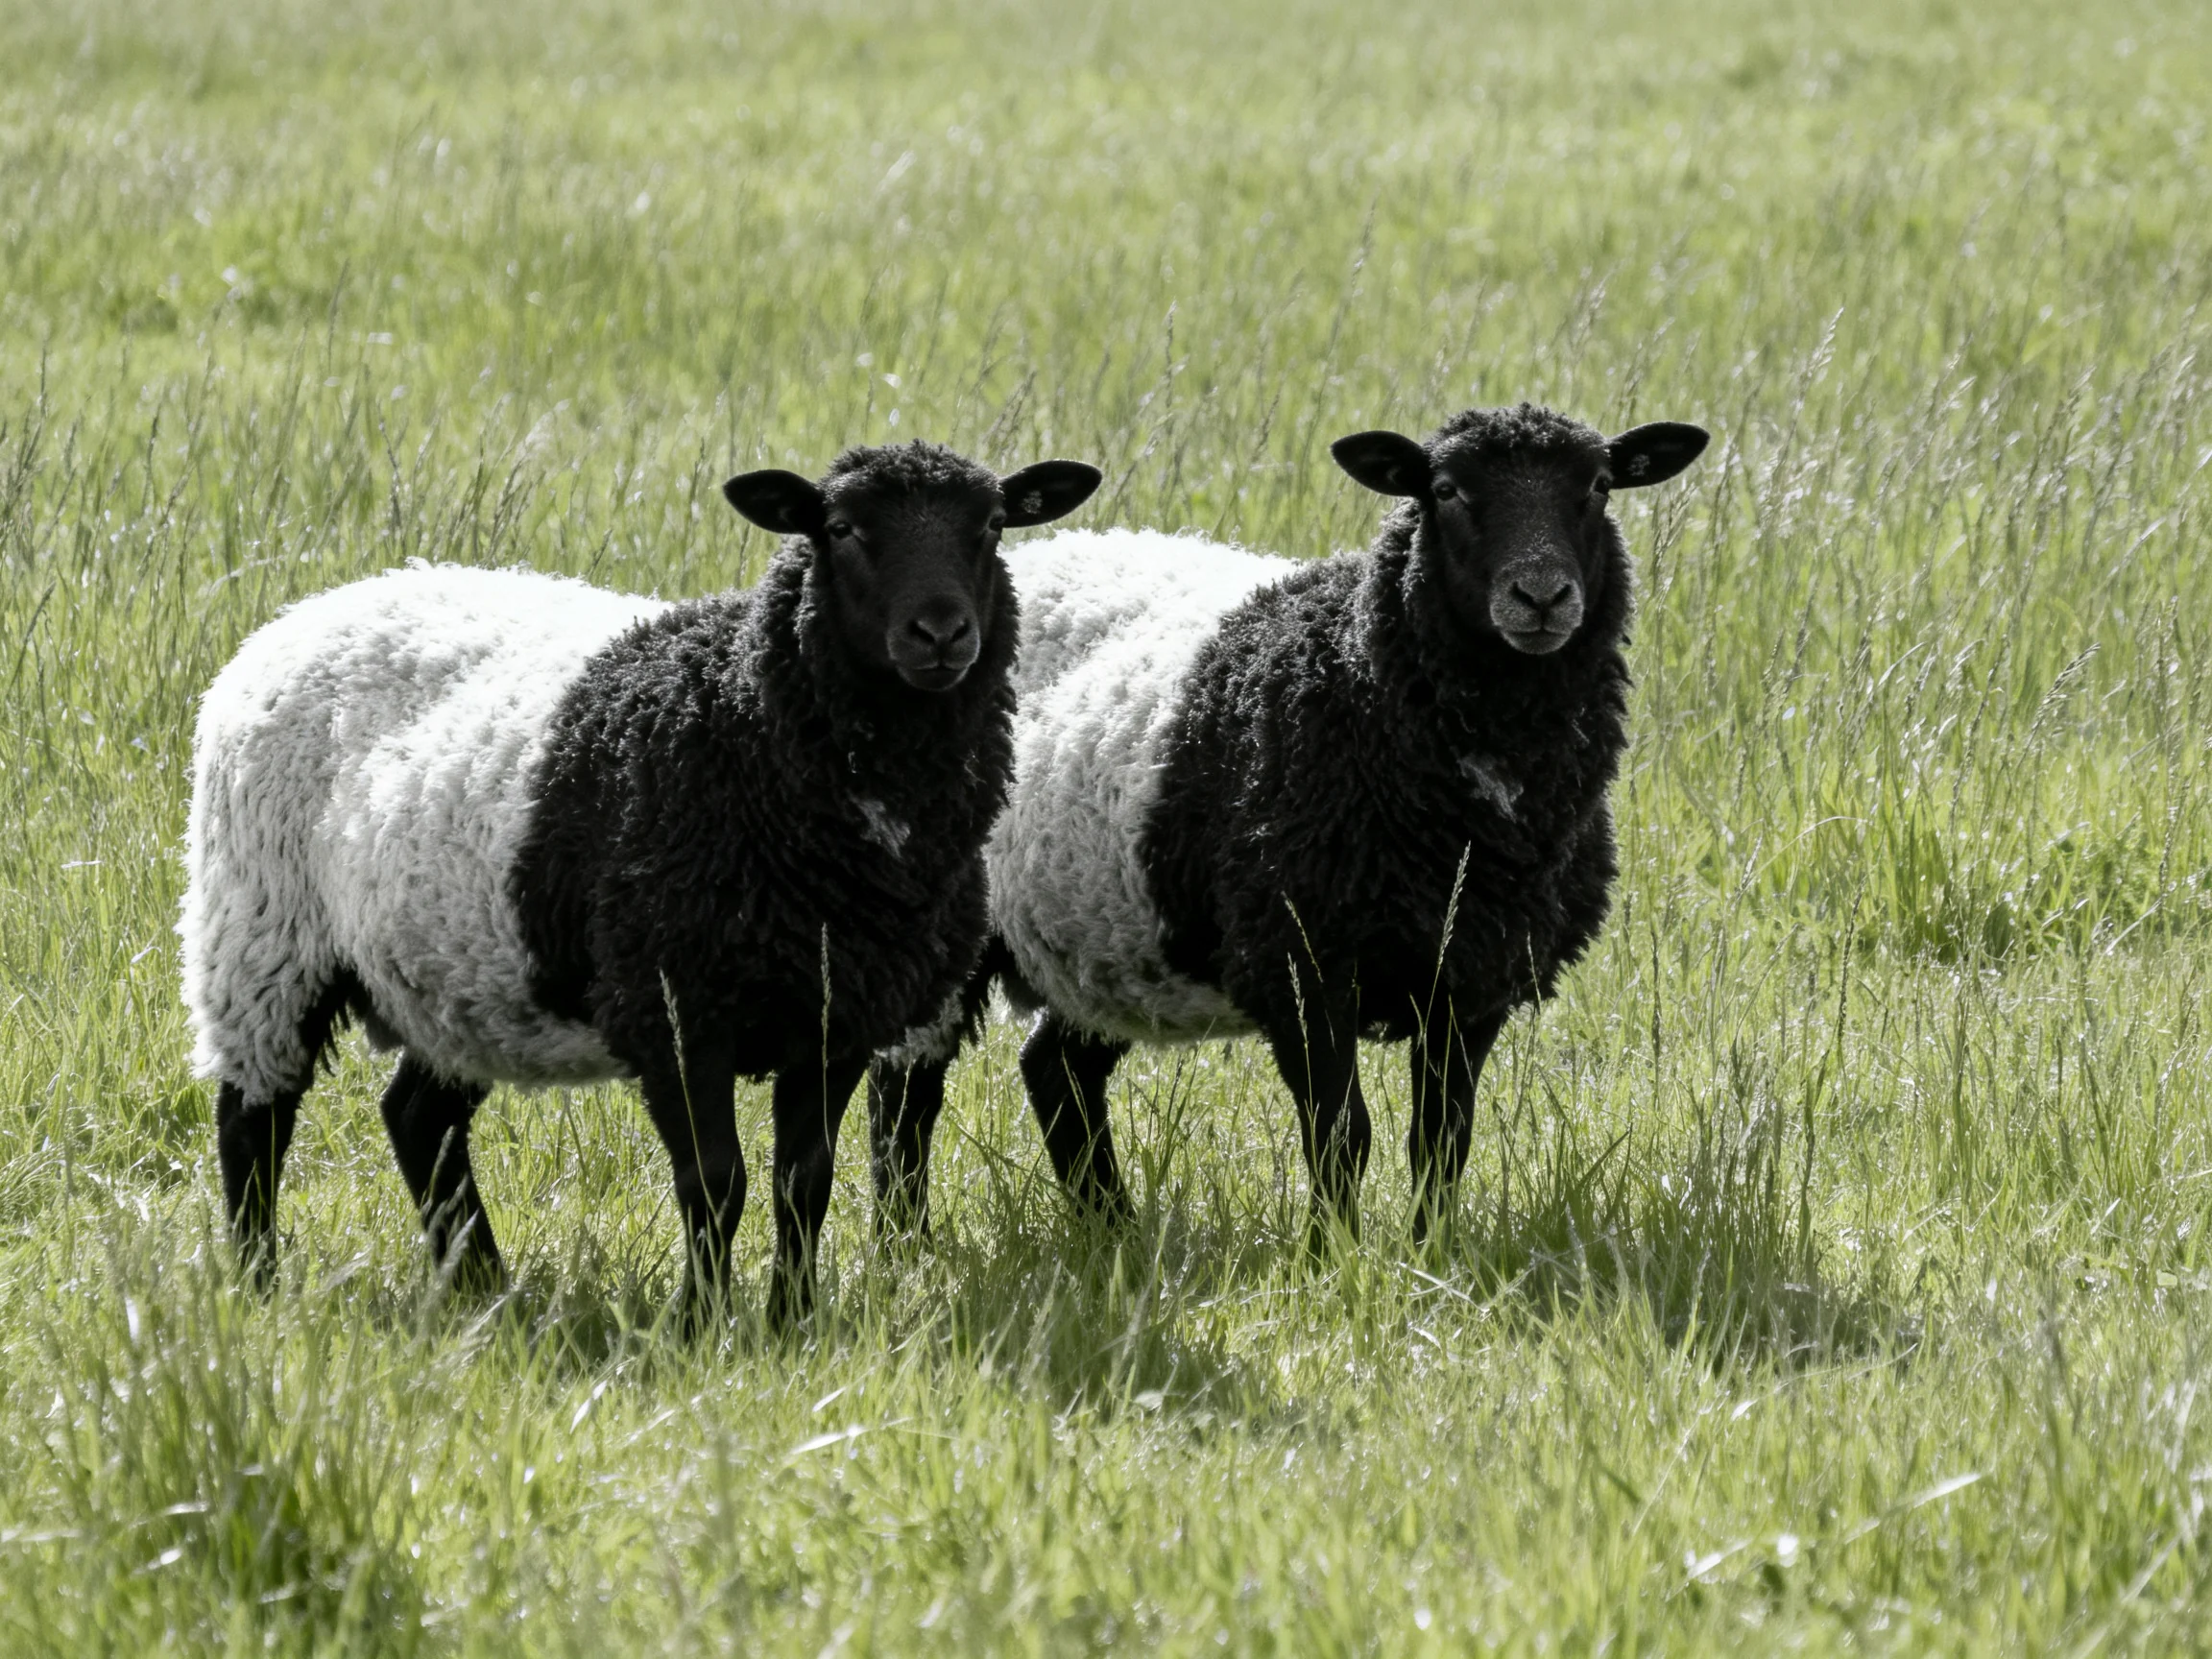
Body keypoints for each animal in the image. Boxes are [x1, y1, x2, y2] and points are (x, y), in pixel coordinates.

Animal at [181, 440, 1102, 1326]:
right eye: (839, 529)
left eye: (991, 525)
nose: (940, 633)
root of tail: (313, 608)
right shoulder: (674, 1008)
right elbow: (716, 1183)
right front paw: (702, 1327)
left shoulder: (836, 1015)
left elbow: (803, 1183)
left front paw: (792, 1324)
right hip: (264, 930)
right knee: (253, 1118)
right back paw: (260, 1284)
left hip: (455, 968)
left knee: (417, 1116)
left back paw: (484, 1288)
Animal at [867, 404, 1707, 1250]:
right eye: (1444, 490)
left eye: (1598, 486)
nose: (1540, 596)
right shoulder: (1302, 961)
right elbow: (1341, 1133)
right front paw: (1335, 1259)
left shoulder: (1472, 974)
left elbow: (1441, 1139)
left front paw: (1428, 1254)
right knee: (904, 1090)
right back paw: (907, 1245)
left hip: (1109, 936)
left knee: (1055, 1071)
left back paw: (1115, 1232)